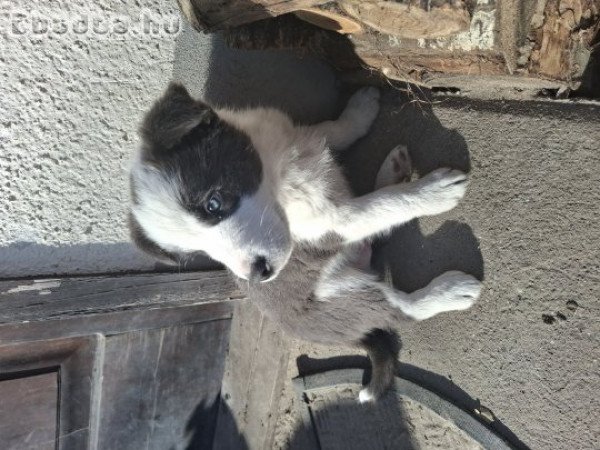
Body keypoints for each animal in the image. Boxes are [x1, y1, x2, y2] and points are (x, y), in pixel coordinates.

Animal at [129, 83, 480, 400]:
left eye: (213, 205)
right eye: (200, 252)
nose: (259, 274)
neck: (278, 178)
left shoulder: (292, 135)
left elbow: (330, 130)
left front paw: (360, 111)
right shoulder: (336, 222)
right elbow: (383, 205)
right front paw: (431, 193)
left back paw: (392, 170)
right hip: (345, 293)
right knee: (399, 308)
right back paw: (450, 291)